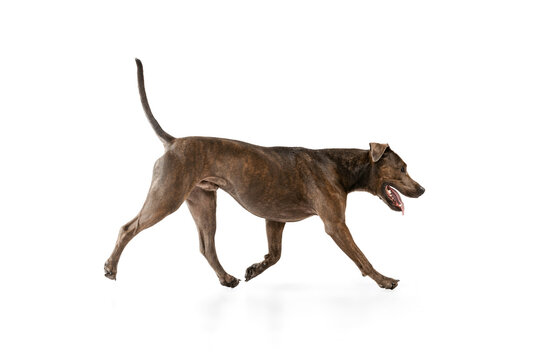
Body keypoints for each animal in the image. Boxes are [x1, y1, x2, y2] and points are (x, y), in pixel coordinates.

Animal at [104, 59, 426, 290]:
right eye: (403, 168)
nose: (422, 189)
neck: (341, 166)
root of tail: (173, 142)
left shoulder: (275, 220)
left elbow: (275, 254)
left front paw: (254, 269)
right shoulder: (335, 224)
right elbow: (362, 257)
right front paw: (384, 280)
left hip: (204, 201)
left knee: (207, 246)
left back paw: (227, 278)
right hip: (166, 197)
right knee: (128, 228)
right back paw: (110, 267)